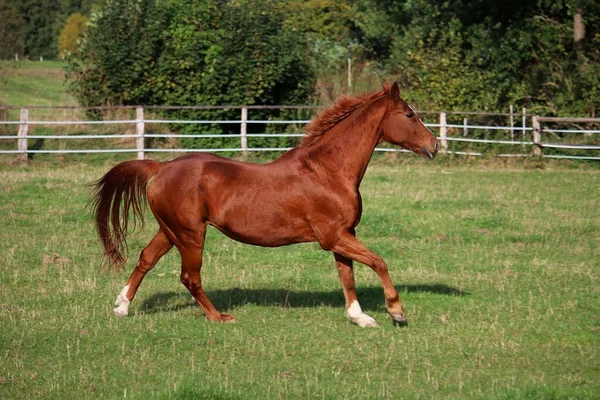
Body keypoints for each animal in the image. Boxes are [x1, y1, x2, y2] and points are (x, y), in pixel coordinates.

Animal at [91, 82, 438, 328]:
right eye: (410, 114)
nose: (434, 145)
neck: (328, 171)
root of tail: (161, 168)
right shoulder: (332, 236)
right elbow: (379, 262)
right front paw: (397, 312)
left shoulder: (344, 234)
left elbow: (347, 276)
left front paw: (360, 317)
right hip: (190, 235)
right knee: (189, 277)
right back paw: (218, 317)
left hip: (170, 230)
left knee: (146, 260)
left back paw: (122, 307)